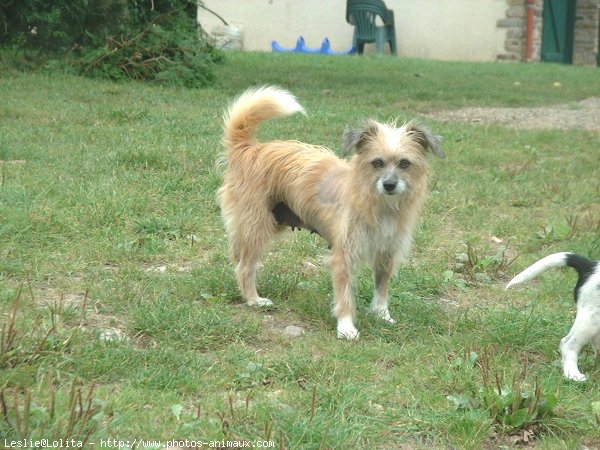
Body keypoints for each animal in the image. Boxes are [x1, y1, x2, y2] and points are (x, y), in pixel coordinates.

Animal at [218, 85, 442, 338]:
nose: (389, 185)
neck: (381, 206)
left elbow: (381, 287)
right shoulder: (343, 255)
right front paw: (346, 327)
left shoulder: (387, 253)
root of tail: (249, 149)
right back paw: (253, 299)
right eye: (377, 163)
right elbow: (344, 295)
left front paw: (382, 314)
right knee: (245, 267)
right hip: (257, 226)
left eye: (404, 163)